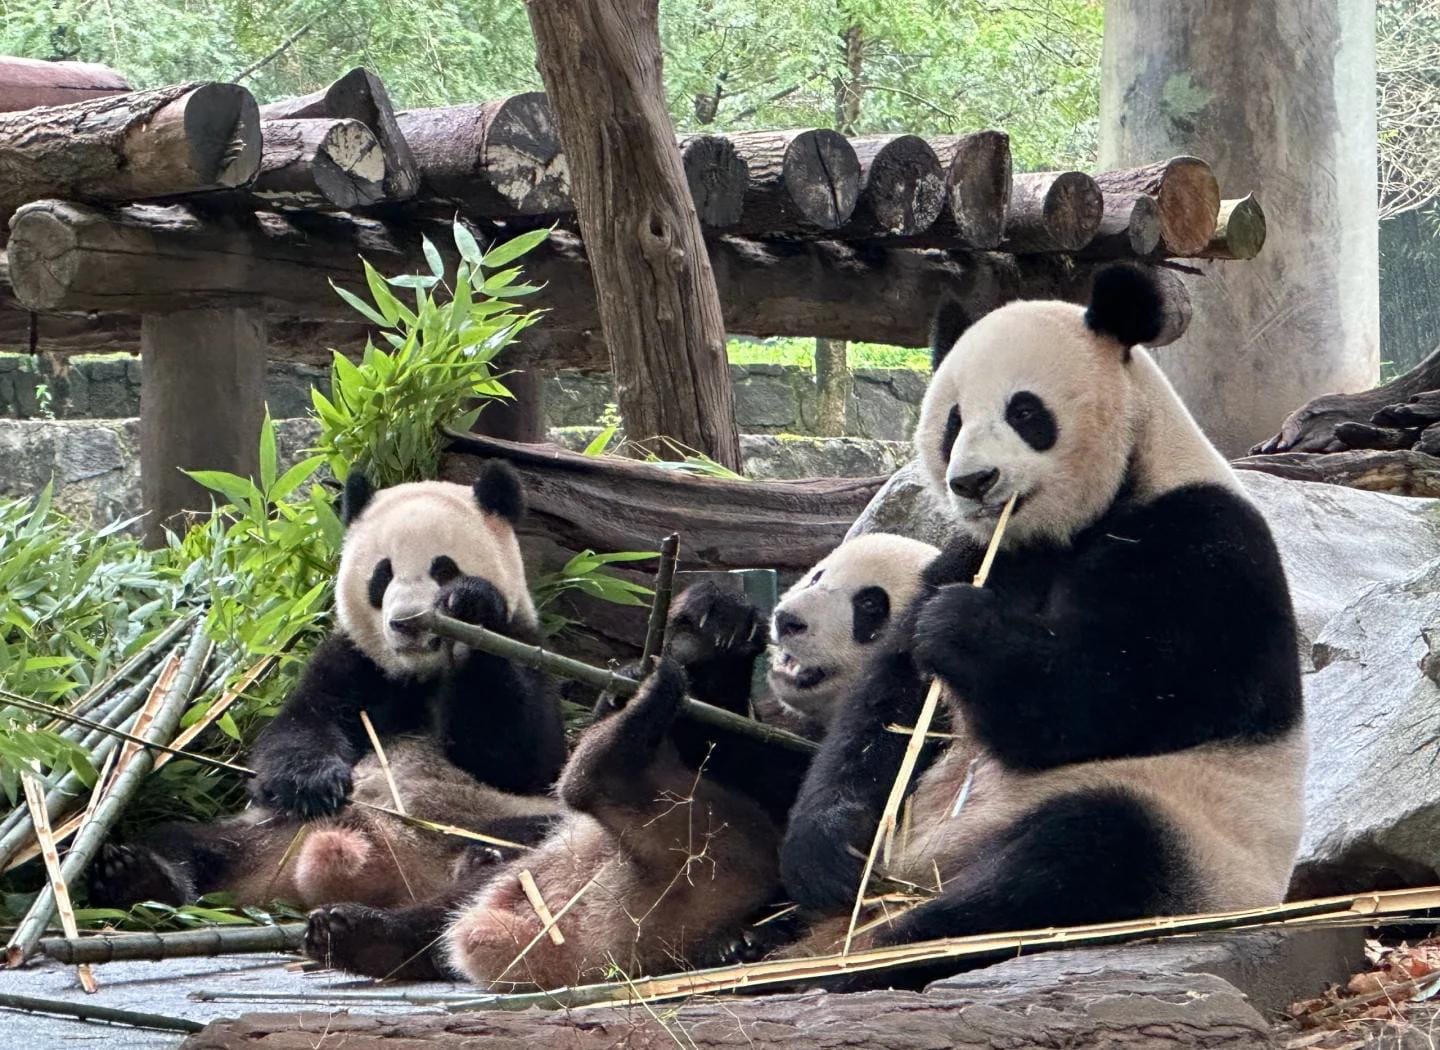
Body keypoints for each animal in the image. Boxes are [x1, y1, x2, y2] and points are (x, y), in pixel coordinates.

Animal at [89, 463, 567, 913]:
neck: (417, 672)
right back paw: (135, 875)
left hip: (485, 820)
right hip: (255, 832)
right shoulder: (354, 660)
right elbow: (299, 727)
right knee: (182, 842)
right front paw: (316, 783)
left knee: (536, 835)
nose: (407, 623)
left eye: (444, 568)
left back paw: (480, 859)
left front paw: (469, 605)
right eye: (382, 575)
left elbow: (521, 758)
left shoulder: (528, 645)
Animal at [301, 534, 938, 984]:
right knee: (474, 891)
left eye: (869, 606)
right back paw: (359, 932)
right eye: (818, 573)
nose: (789, 619)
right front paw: (709, 627)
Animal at [777, 265, 1307, 985]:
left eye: (1025, 413)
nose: (973, 482)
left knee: (1083, 853)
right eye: (953, 421)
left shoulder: (1204, 543)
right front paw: (827, 852)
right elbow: (886, 709)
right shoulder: (972, 554)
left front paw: (962, 626)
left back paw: (886, 948)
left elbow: (1121, 695)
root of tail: (934, 868)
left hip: (1190, 834)